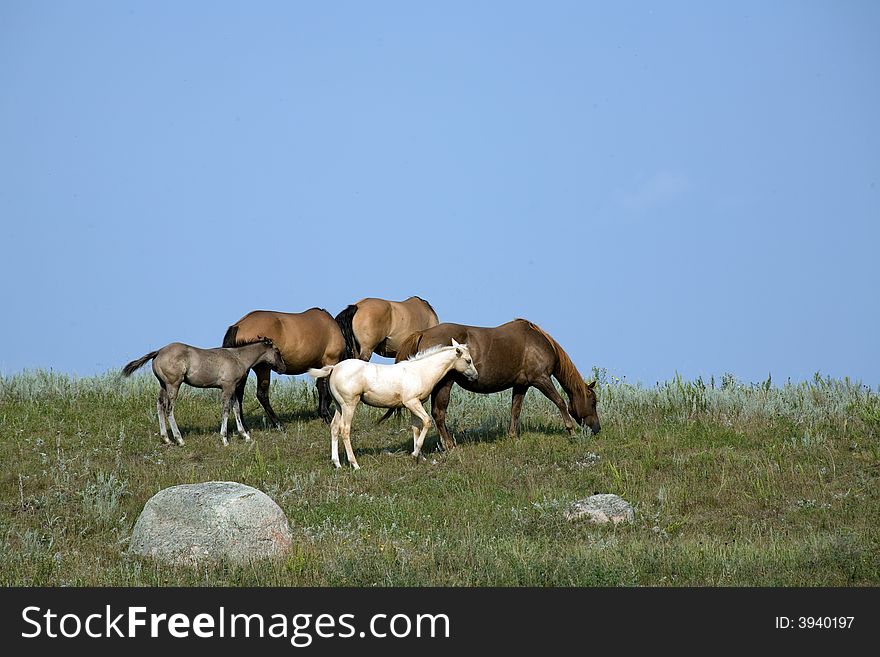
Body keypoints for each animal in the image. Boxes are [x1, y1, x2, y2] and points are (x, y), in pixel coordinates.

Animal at [120, 338, 284, 446]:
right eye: (277, 351)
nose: (282, 368)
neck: (238, 357)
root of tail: (158, 352)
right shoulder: (228, 387)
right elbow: (226, 410)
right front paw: (224, 439)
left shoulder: (234, 388)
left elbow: (236, 408)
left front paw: (245, 435)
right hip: (173, 384)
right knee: (169, 409)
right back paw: (179, 439)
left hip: (163, 385)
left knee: (160, 405)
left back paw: (166, 438)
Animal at [308, 338, 478, 466]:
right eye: (468, 360)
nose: (476, 376)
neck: (420, 371)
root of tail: (334, 368)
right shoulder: (412, 403)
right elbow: (427, 422)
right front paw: (415, 453)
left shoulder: (415, 405)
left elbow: (416, 428)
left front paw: (419, 456)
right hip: (349, 405)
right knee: (345, 429)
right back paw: (354, 464)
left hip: (339, 406)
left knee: (334, 427)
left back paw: (337, 463)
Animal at [390, 320, 600, 452]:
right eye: (593, 402)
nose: (597, 428)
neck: (538, 343)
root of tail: (423, 333)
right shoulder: (541, 379)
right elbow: (560, 402)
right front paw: (571, 431)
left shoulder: (521, 385)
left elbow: (515, 409)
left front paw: (513, 436)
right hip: (445, 383)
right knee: (439, 413)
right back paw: (449, 445)